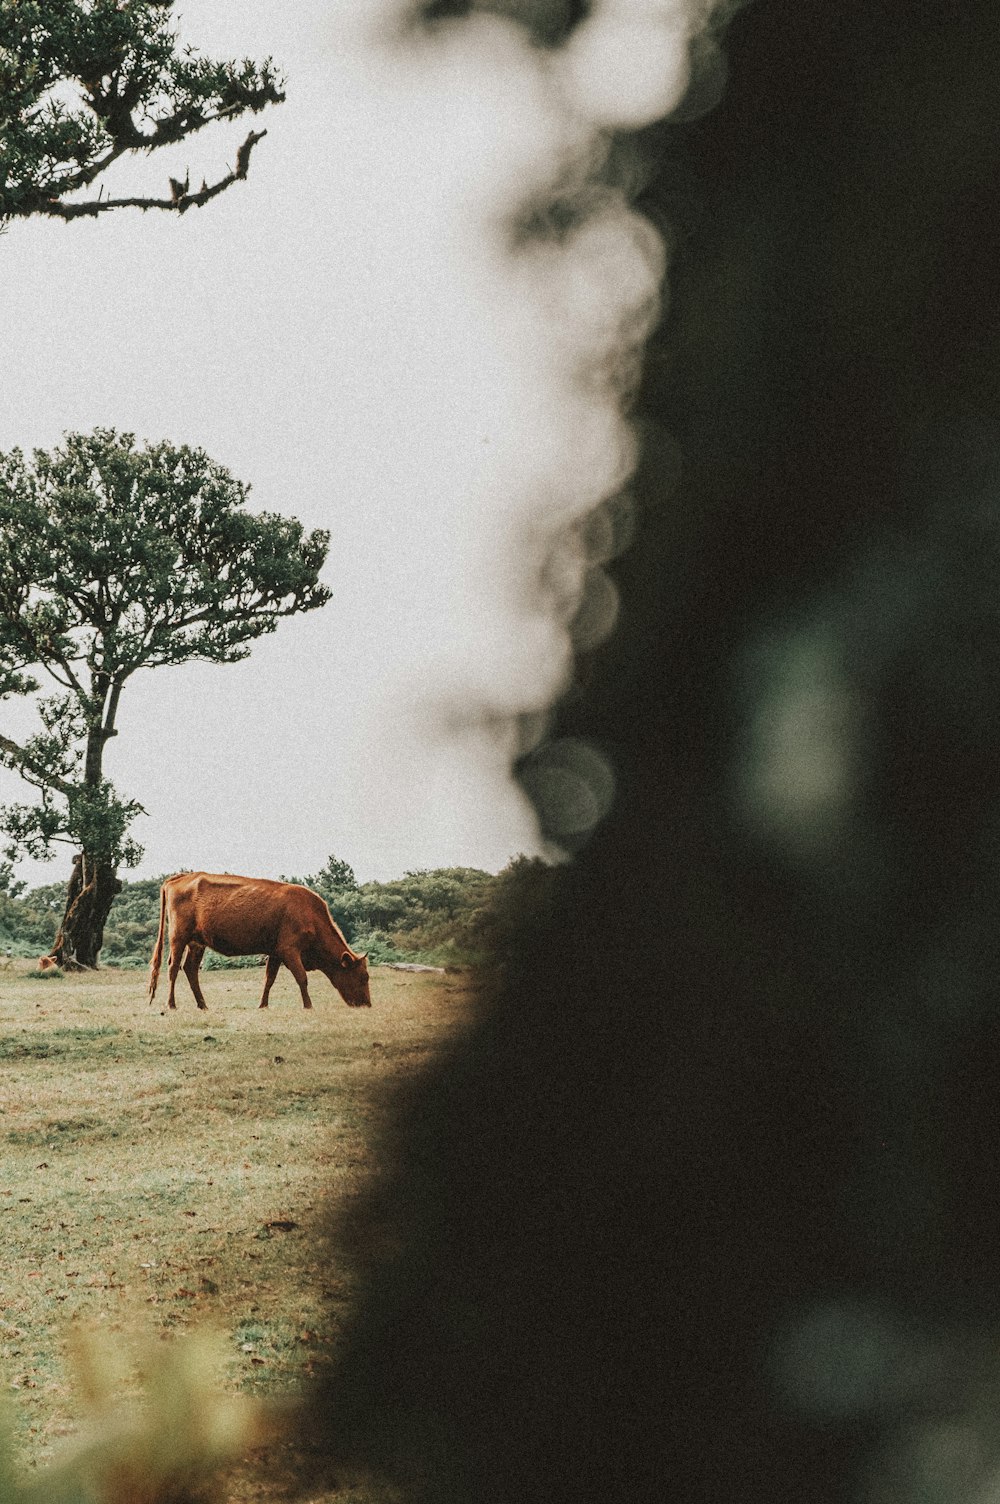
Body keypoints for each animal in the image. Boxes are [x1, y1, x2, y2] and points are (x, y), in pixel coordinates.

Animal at [146, 872, 368, 1010]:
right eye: (364, 977)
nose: (367, 1004)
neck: (310, 914)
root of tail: (180, 877)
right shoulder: (289, 950)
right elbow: (302, 978)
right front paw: (308, 1005)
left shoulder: (276, 952)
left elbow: (269, 979)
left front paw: (263, 1005)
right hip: (178, 938)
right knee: (173, 968)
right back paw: (171, 1005)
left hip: (197, 943)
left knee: (190, 969)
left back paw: (203, 1005)